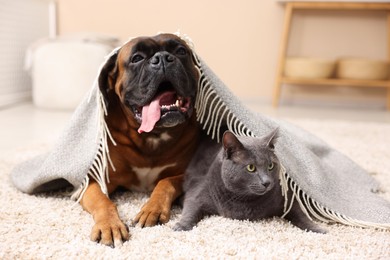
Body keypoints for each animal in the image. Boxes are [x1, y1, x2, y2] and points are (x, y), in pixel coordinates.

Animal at [79, 33, 201, 247]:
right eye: (137, 58)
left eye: (181, 51)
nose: (162, 58)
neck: (152, 136)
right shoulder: (93, 181)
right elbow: (103, 201)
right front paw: (109, 225)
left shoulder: (186, 173)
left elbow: (166, 182)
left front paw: (152, 209)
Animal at [174, 129, 326, 233]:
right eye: (251, 168)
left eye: (270, 165)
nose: (266, 182)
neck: (244, 200)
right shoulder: (197, 190)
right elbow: (190, 209)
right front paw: (181, 226)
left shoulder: (287, 197)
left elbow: (301, 214)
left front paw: (318, 229)